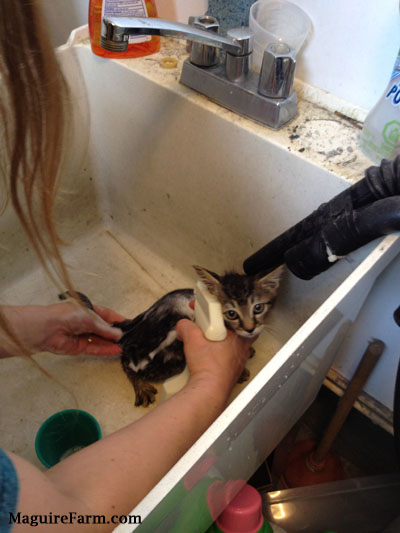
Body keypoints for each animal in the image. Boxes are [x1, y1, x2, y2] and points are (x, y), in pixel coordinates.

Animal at [115, 264, 282, 406]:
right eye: (232, 314)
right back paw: (141, 385)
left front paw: (250, 351)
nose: (250, 329)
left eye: (258, 308)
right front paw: (241, 372)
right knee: (126, 357)